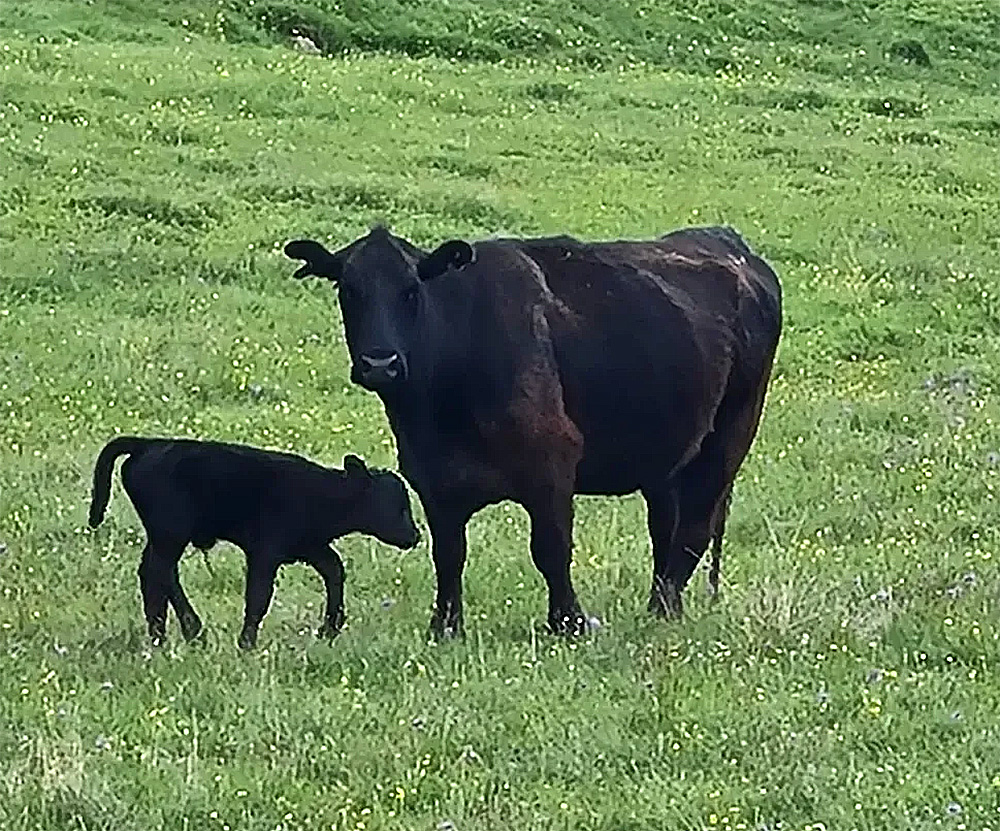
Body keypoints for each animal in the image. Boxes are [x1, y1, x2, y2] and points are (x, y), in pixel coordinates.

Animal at [88, 436, 420, 648]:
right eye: (394, 504)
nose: (414, 536)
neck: (320, 493)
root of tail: (150, 444)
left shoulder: (311, 548)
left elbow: (335, 571)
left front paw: (329, 628)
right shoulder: (265, 552)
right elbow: (259, 596)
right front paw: (247, 642)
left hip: (164, 535)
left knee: (157, 573)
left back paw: (169, 632)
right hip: (170, 532)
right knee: (157, 572)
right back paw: (182, 632)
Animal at [284, 226, 780, 636]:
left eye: (412, 291)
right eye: (349, 291)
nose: (380, 363)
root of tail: (730, 244)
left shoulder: (552, 465)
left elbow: (551, 549)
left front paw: (568, 623)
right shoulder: (433, 478)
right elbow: (448, 555)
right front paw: (445, 627)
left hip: (729, 437)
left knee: (695, 528)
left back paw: (660, 611)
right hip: (666, 454)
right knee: (666, 528)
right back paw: (662, 607)